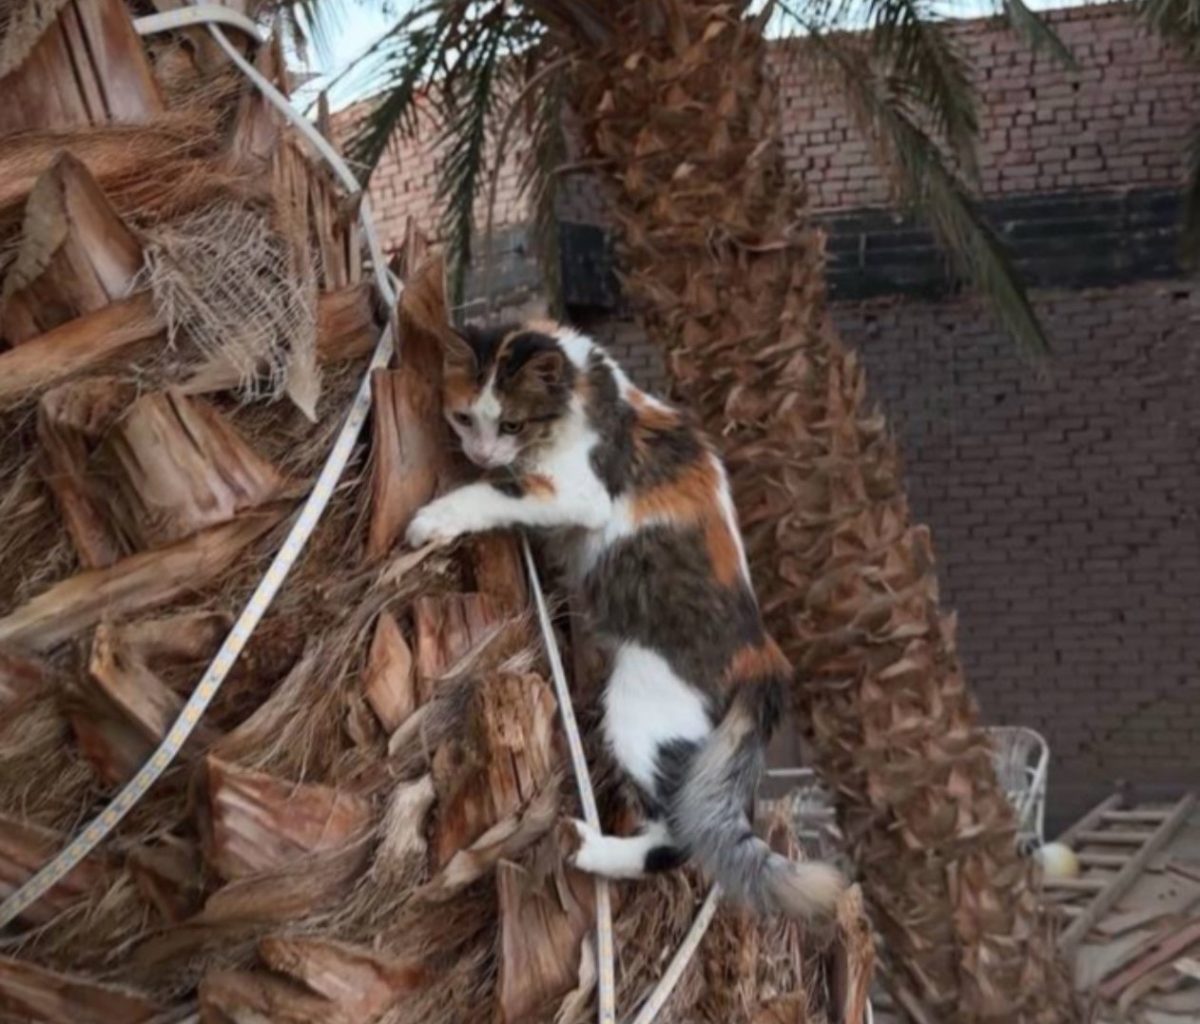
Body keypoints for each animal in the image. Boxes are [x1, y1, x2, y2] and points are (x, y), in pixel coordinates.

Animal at [410, 314, 844, 917]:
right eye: (464, 416)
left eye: (512, 423)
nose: (480, 453)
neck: (588, 387)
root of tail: (763, 656)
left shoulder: (577, 492)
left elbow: (496, 492)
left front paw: (434, 518)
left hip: (639, 716)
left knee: (678, 839)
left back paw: (590, 849)